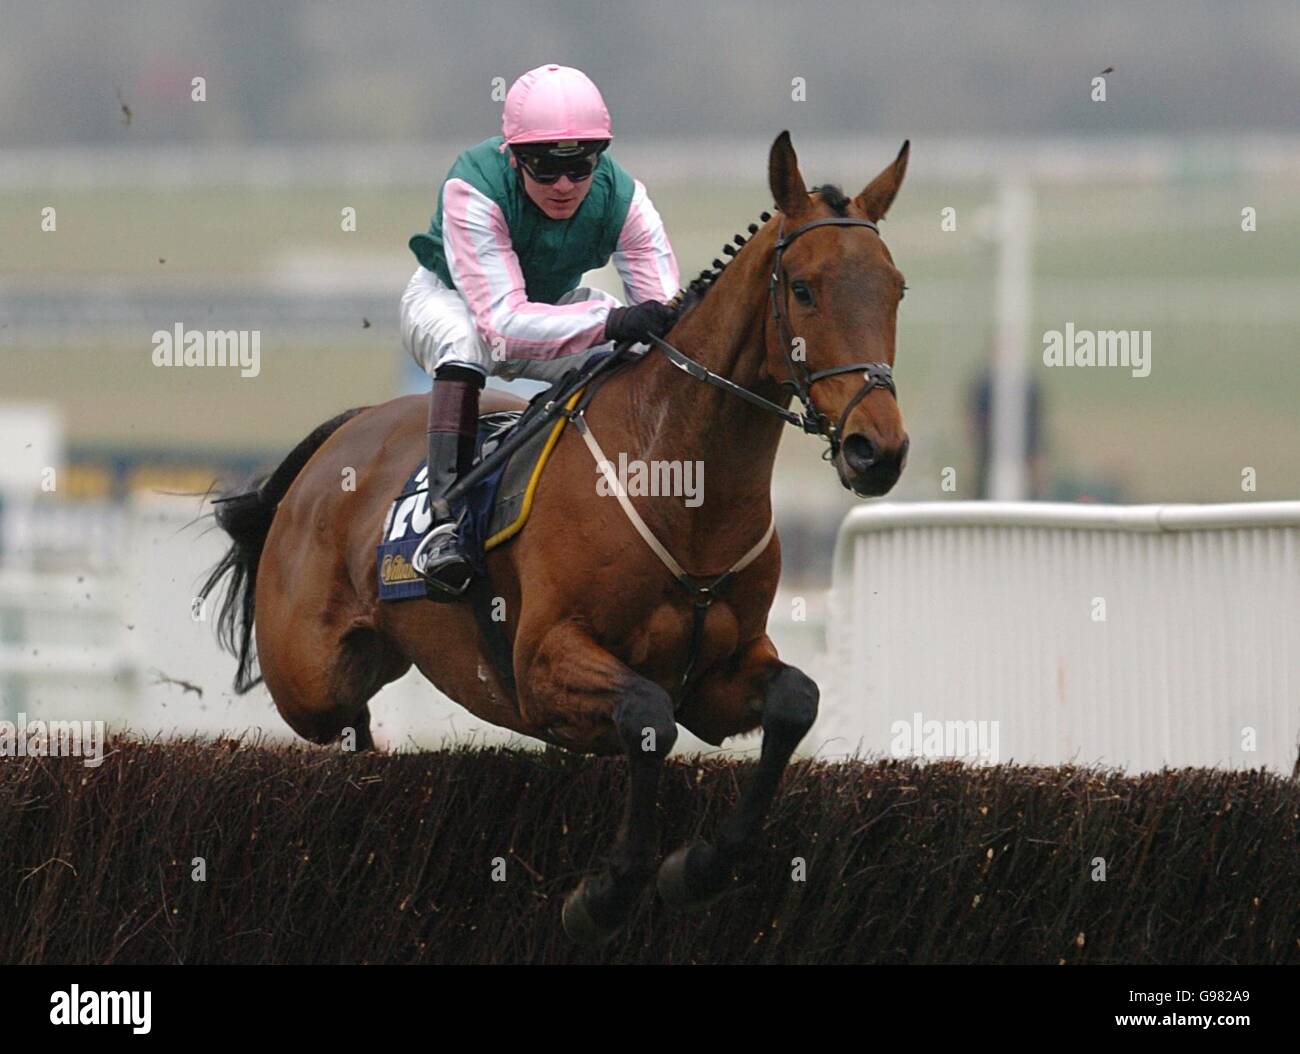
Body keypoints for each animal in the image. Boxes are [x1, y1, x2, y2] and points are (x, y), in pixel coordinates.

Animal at [200, 131, 915, 946]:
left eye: (896, 289)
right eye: (802, 288)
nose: (877, 451)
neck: (681, 487)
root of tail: (340, 437)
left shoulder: (718, 678)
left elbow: (795, 701)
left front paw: (697, 866)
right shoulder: (543, 663)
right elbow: (647, 716)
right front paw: (606, 891)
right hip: (311, 678)